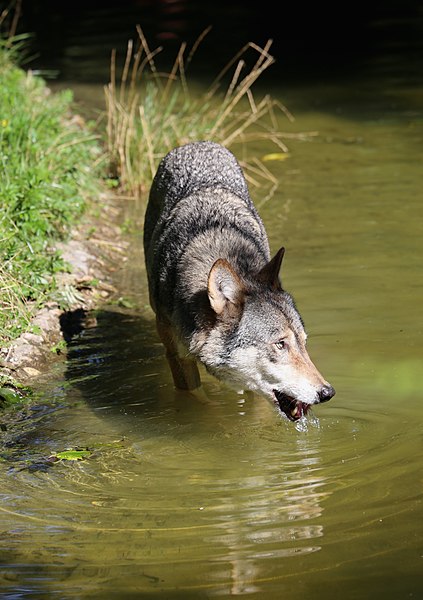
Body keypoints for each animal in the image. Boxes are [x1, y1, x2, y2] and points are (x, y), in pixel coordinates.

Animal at [144, 141, 336, 422]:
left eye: (303, 342)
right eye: (281, 344)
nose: (327, 392)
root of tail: (199, 143)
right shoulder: (178, 357)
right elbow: (200, 402)